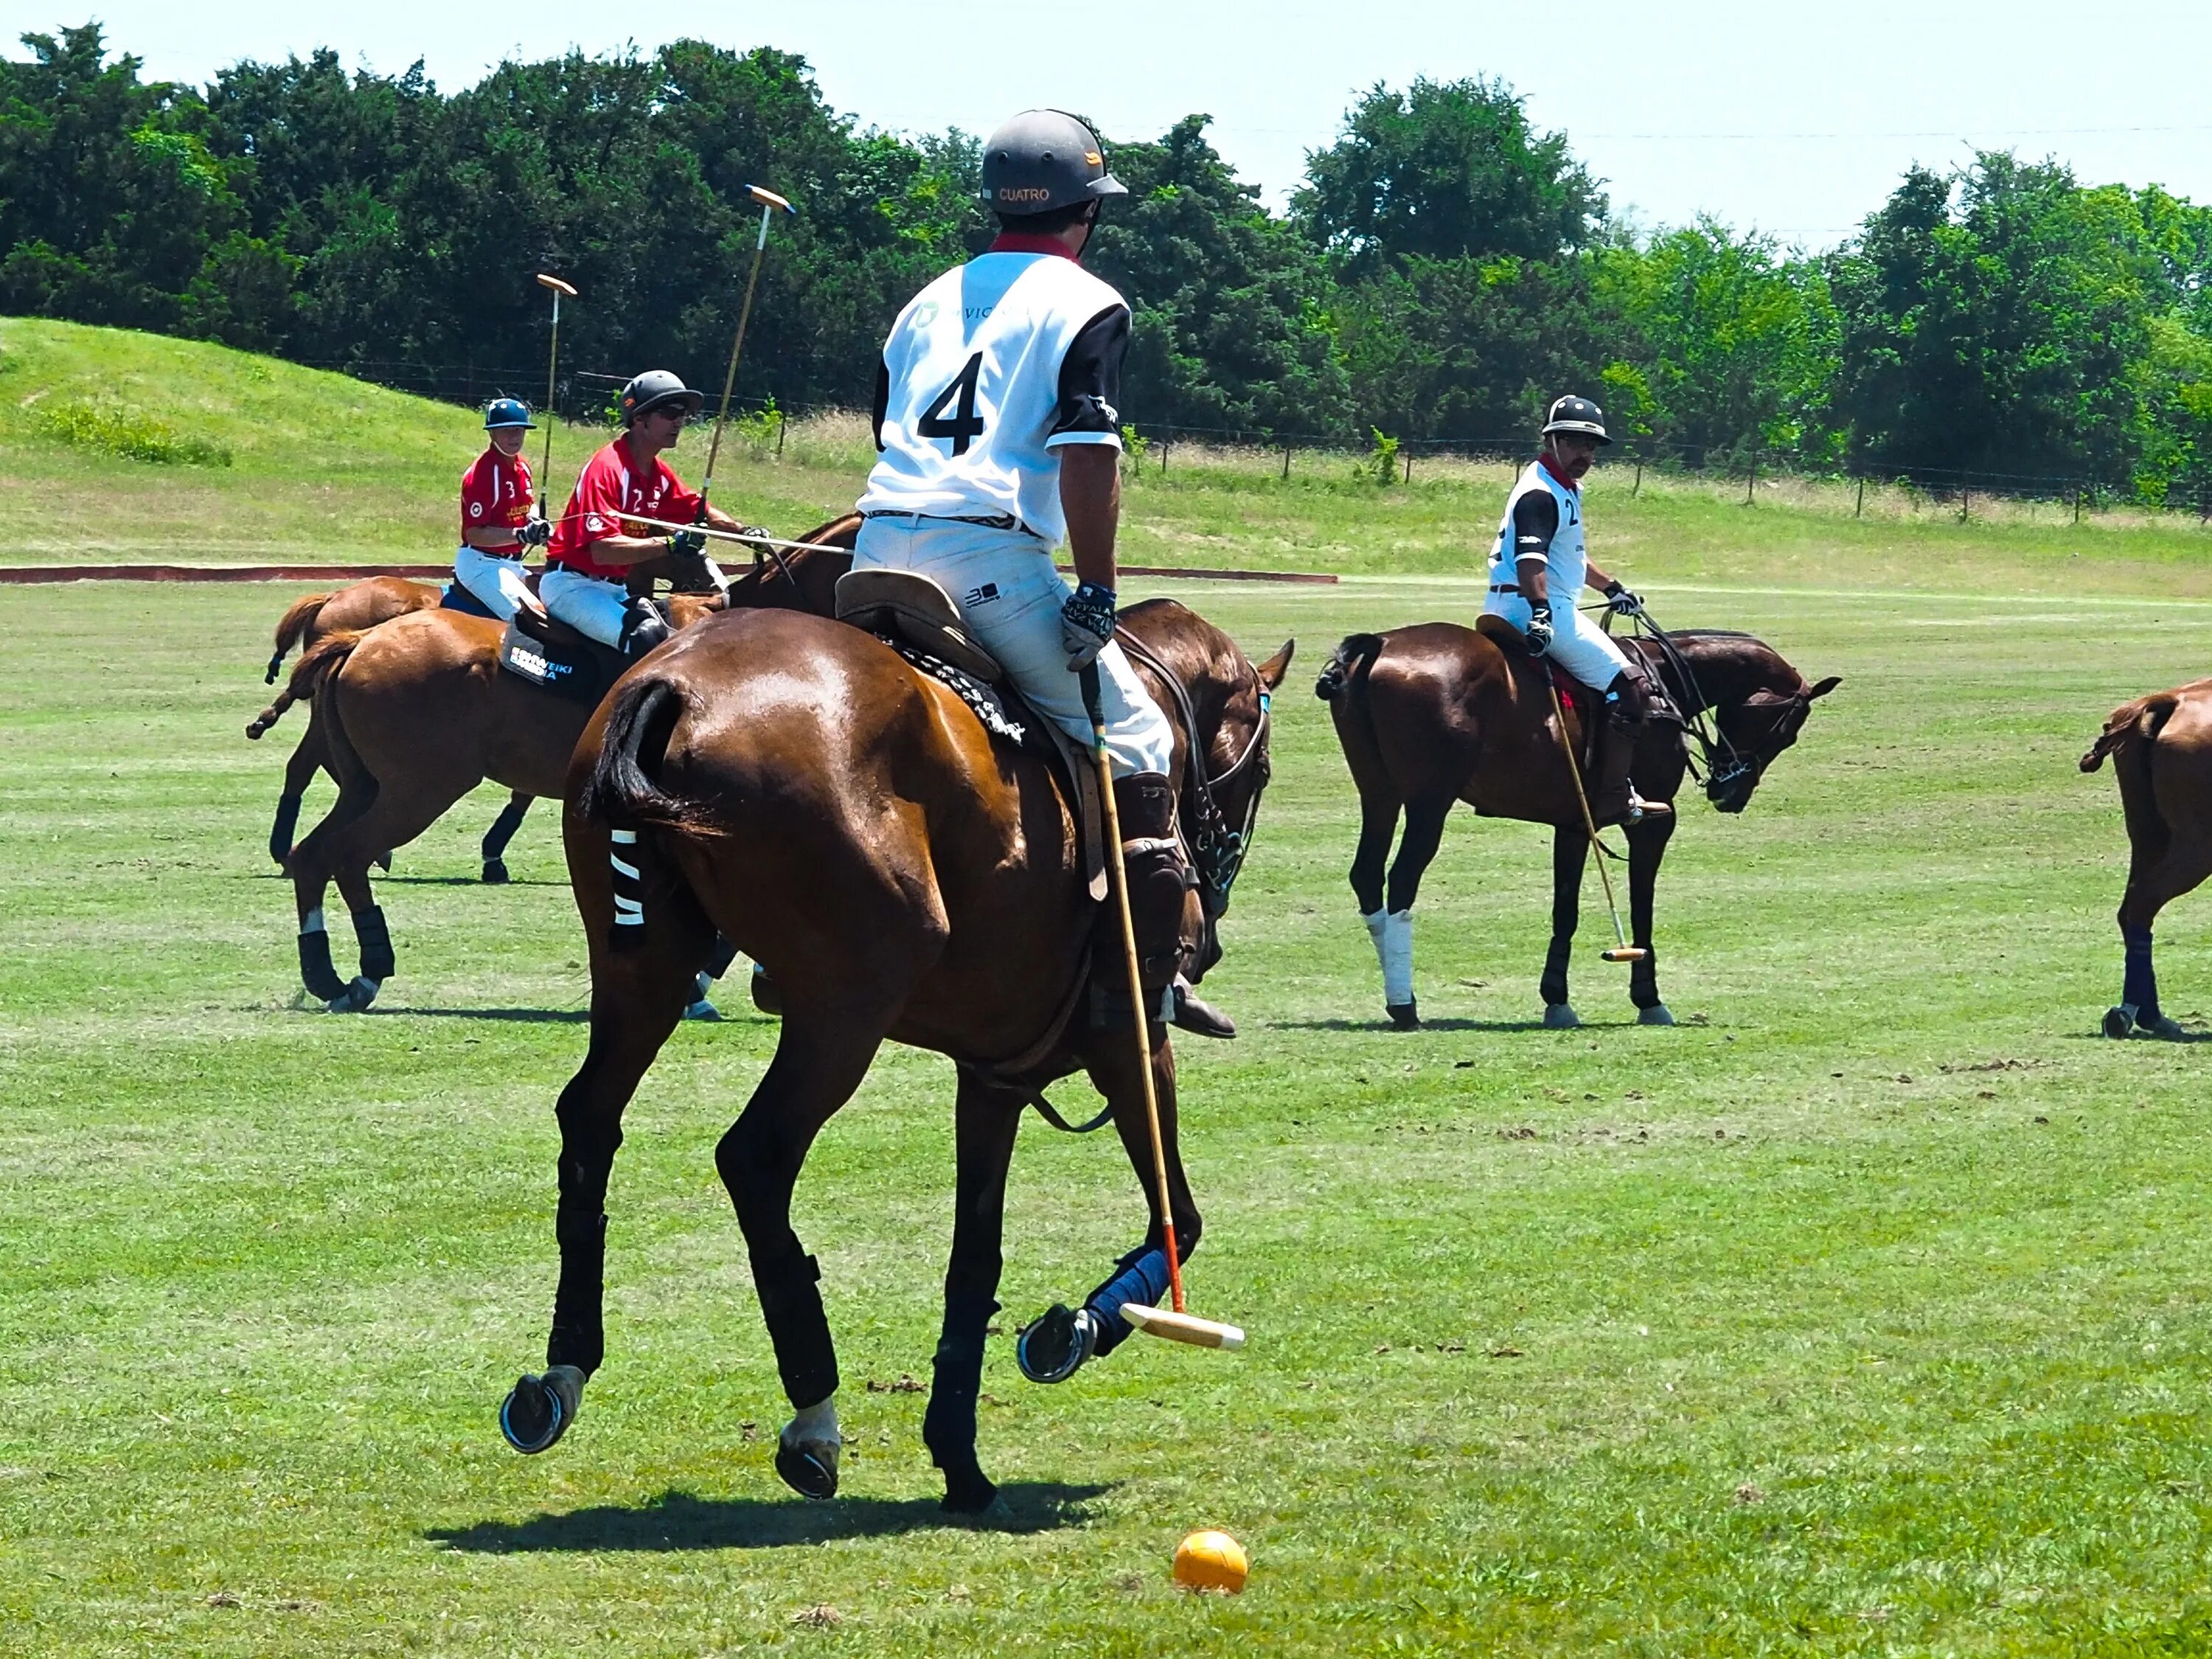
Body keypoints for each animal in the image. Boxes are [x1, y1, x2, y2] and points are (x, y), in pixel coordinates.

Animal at [285, 520, 854, 1013]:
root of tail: (361, 639)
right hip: (421, 788)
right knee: (347, 854)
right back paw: (367, 972)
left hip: (367, 785)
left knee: (313, 853)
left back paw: (325, 974)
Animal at [498, 602, 1292, 1522]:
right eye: (1261, 769)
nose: (1210, 932)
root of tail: (673, 684)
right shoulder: (1128, 1037)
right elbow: (1182, 1219)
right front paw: (1075, 1330)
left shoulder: (993, 1075)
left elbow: (973, 1259)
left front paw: (962, 1459)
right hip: (848, 1001)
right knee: (755, 1156)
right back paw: (813, 1415)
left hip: (643, 968)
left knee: (589, 1120)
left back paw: (560, 1372)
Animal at [1310, 624, 1832, 1035]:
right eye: (1789, 731)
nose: (1730, 794)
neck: (1667, 682)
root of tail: (1380, 643)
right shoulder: (1655, 823)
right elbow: (1641, 908)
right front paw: (1649, 999)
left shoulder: (1574, 823)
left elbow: (1566, 911)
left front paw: (1557, 1001)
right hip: (1429, 800)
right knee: (1401, 881)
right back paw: (1405, 1004)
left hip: (1378, 791)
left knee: (1367, 875)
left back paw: (1395, 997)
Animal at [2079, 677, 2203, 1040]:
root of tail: (2171, 699)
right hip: (2197, 845)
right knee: (2141, 905)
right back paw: (2132, 1013)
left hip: (2149, 836)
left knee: (2133, 909)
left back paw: (2147, 1014)